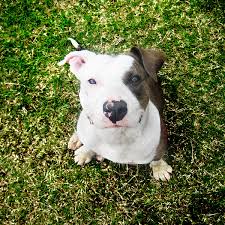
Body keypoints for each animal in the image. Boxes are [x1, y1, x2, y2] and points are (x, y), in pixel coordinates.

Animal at [58, 38, 172, 181]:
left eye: (135, 78)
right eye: (91, 81)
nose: (114, 108)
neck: (116, 137)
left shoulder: (160, 143)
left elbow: (157, 158)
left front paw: (160, 168)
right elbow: (90, 145)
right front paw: (86, 152)